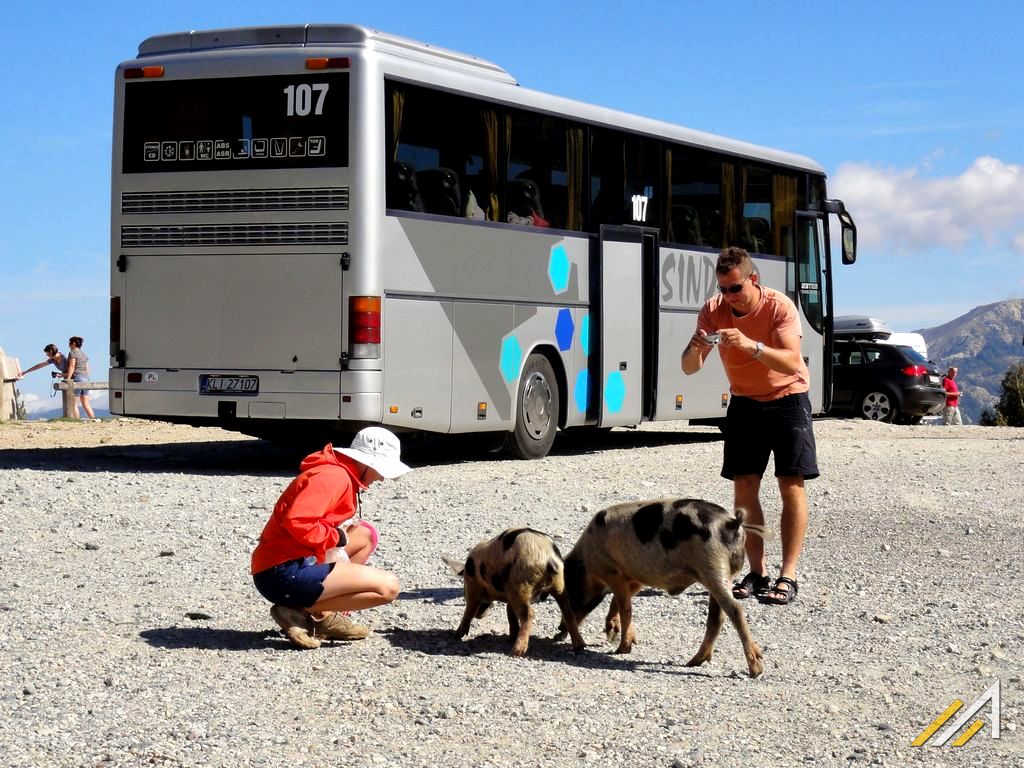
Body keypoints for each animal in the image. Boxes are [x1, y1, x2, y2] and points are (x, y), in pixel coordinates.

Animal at [442, 528, 585, 659]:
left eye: (463, 588)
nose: (480, 615)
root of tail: (549, 557)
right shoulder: (509, 595)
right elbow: (510, 614)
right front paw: (510, 637)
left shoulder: (474, 589)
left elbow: (469, 611)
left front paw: (456, 636)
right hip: (559, 585)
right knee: (568, 612)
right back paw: (580, 647)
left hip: (521, 585)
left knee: (529, 614)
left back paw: (516, 652)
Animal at [557, 501, 765, 675]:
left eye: (571, 590)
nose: (559, 629)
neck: (587, 560)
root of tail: (732, 523)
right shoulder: (635, 578)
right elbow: (620, 603)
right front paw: (616, 635)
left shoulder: (613, 573)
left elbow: (625, 607)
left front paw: (621, 649)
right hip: (721, 574)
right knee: (717, 617)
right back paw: (693, 662)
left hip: (713, 568)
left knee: (735, 610)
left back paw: (755, 670)